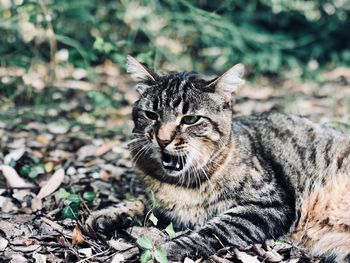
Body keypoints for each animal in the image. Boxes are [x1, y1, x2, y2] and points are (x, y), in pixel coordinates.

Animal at [86, 56, 350, 262]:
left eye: (190, 119)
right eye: (151, 115)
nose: (162, 139)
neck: (183, 183)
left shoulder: (269, 205)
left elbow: (213, 230)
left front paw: (164, 249)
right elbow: (142, 202)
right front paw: (106, 214)